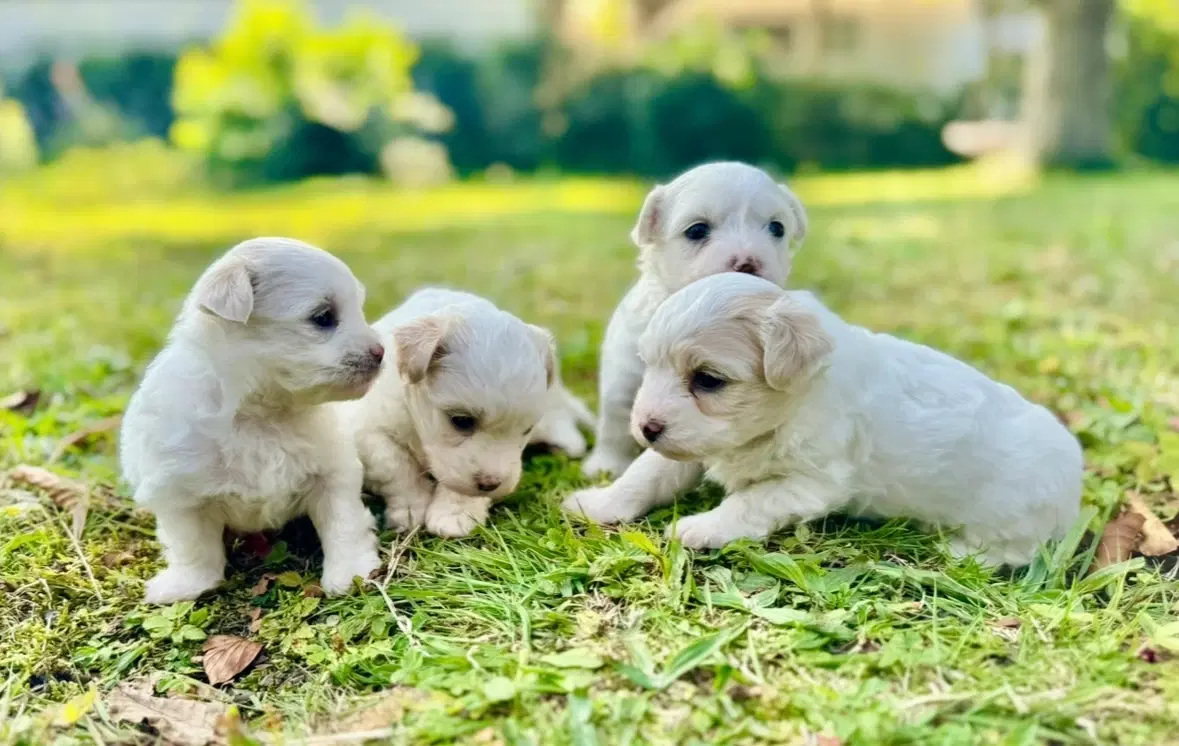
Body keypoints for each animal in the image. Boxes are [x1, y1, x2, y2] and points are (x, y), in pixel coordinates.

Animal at [122, 235, 384, 603]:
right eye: (323, 317)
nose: (381, 352)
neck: (261, 413)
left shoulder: (333, 473)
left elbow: (343, 523)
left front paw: (351, 573)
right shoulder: (178, 492)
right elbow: (193, 546)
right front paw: (187, 584)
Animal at [339, 287, 558, 537]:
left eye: (527, 430)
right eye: (461, 421)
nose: (491, 483)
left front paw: (455, 513)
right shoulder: (365, 428)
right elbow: (394, 465)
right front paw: (411, 508)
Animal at [565, 273, 1079, 563]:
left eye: (708, 380)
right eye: (647, 364)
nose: (644, 427)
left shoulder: (811, 482)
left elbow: (747, 502)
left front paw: (703, 527)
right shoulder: (690, 446)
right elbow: (644, 474)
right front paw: (599, 503)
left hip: (1012, 514)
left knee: (1012, 551)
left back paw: (960, 553)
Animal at [582, 161, 806, 476]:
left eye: (777, 227)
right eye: (697, 230)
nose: (748, 262)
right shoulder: (623, 371)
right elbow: (614, 419)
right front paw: (606, 465)